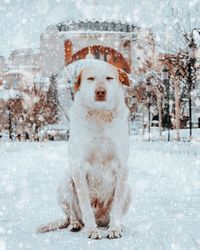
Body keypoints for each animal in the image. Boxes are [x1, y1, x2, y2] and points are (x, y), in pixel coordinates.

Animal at [37, 59, 131, 239]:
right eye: (91, 78)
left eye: (109, 78)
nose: (100, 92)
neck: (100, 116)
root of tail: (101, 219)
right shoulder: (79, 166)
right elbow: (85, 204)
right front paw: (92, 230)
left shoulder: (122, 166)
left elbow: (117, 204)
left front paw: (115, 229)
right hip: (66, 181)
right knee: (73, 215)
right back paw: (75, 225)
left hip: (128, 189)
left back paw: (116, 225)